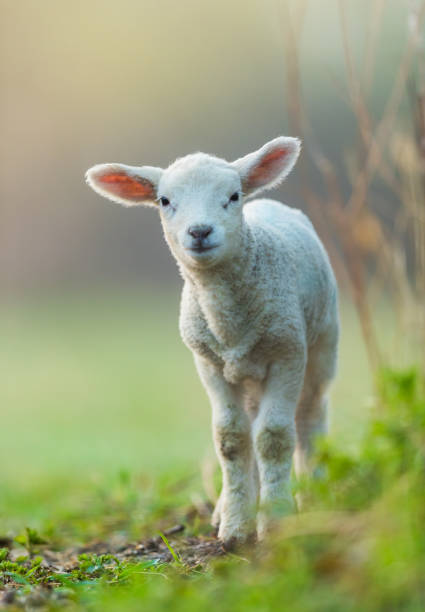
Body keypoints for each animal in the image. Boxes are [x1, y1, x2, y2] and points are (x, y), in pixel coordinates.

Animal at [85, 137, 338, 548]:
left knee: (311, 416)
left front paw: (276, 520)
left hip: (322, 345)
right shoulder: (209, 364)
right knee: (251, 423)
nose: (200, 231)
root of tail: (267, 202)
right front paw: (236, 526)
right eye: (164, 201)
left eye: (233, 196)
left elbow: (274, 437)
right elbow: (231, 438)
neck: (230, 323)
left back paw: (315, 494)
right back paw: (231, 506)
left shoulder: (287, 353)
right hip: (246, 371)